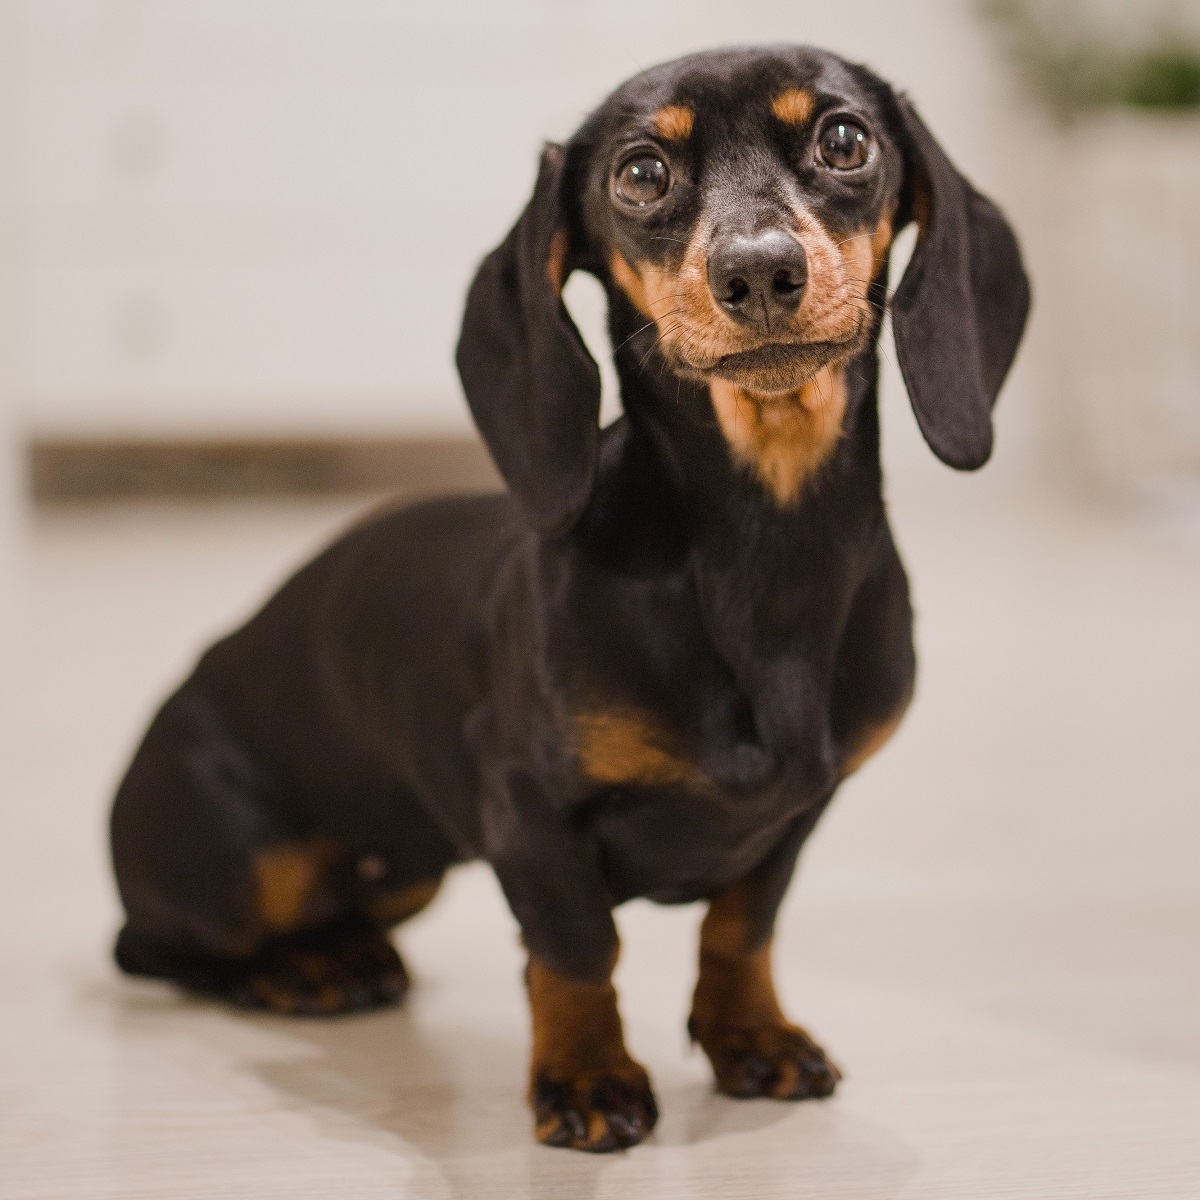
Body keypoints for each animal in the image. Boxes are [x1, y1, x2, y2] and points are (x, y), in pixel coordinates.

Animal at [112, 44, 1027, 1152]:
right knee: (165, 947)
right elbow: (578, 952)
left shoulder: (798, 812)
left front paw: (751, 1038)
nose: (759, 271)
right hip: (239, 861)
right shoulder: (528, 816)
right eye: (640, 173)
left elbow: (742, 927)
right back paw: (303, 973)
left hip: (409, 870)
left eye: (845, 140)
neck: (764, 551)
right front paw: (588, 1078)